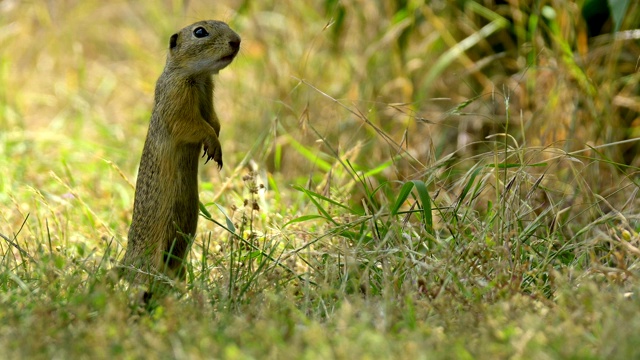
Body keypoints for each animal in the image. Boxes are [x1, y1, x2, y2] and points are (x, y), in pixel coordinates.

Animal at [120, 20, 240, 284]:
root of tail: (125, 262)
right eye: (200, 32)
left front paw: (214, 145)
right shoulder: (177, 100)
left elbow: (214, 121)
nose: (237, 41)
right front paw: (213, 146)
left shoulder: (208, 97)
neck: (198, 77)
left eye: (226, 24)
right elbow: (194, 126)